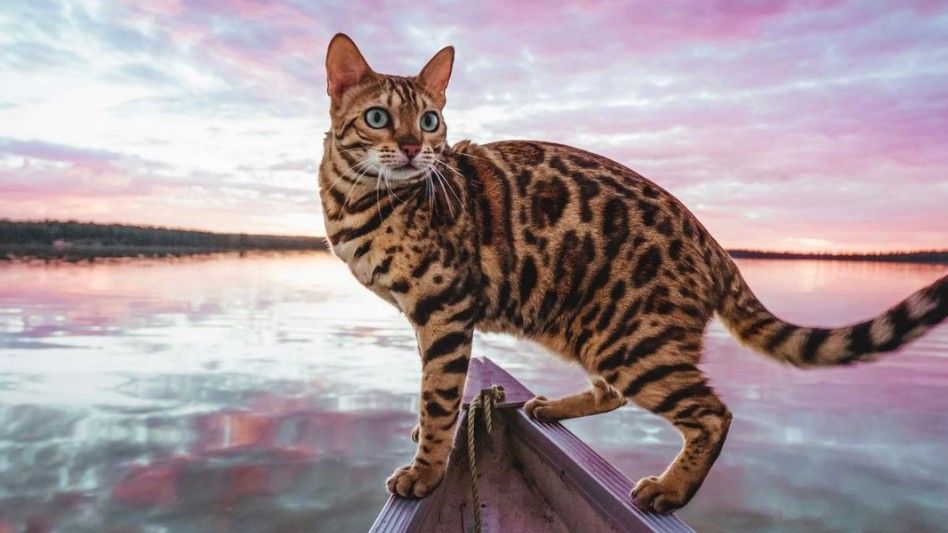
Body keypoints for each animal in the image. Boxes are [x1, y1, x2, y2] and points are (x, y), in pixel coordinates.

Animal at [318, 32, 948, 512]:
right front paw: (426, 441)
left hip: (633, 340)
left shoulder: (446, 310)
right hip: (587, 327)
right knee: (613, 393)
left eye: (430, 121)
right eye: (378, 118)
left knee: (713, 414)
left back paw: (672, 489)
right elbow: (431, 393)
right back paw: (552, 408)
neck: (357, 200)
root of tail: (713, 242)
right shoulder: (426, 317)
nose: (411, 148)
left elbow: (440, 395)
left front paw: (425, 471)